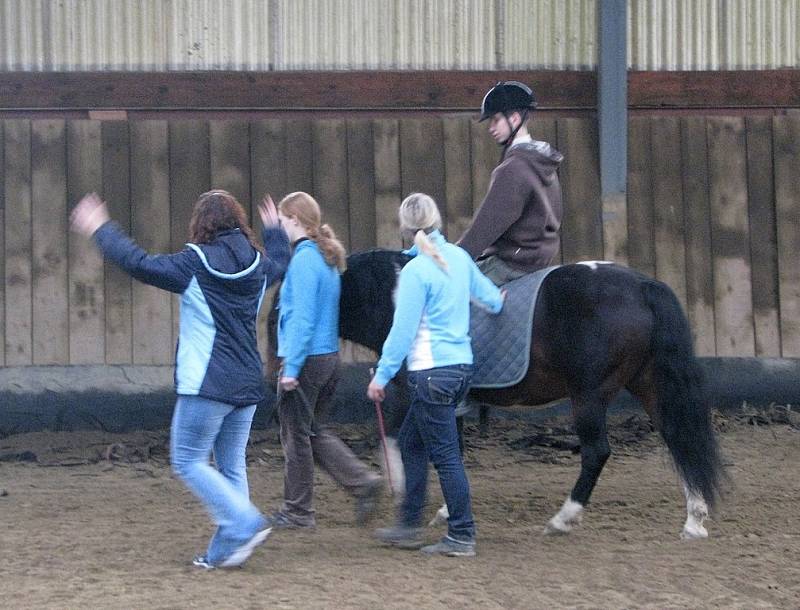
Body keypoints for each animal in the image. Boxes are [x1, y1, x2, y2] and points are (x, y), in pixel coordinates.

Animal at [268, 249, 724, 540]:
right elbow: (446, 447)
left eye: (284, 303)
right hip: (649, 385)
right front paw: (440, 506)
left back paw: (564, 519)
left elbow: (403, 441)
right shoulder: (446, 401)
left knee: (597, 452)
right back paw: (694, 519)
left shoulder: (410, 393)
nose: (280, 363)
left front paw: (401, 493)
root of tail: (642, 284)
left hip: (589, 395)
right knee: (679, 438)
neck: (397, 296)